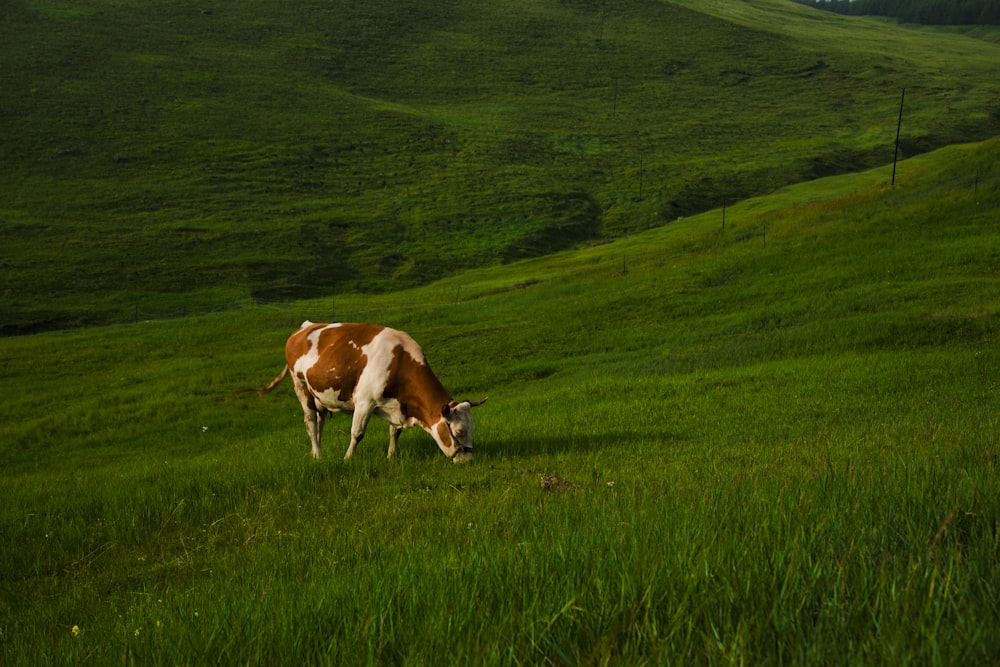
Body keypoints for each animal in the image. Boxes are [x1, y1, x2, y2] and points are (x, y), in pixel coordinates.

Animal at [258, 324, 488, 464]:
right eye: (458, 431)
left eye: (473, 428)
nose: (469, 461)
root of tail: (304, 327)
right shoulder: (364, 402)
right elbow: (357, 433)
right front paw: (347, 459)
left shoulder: (396, 405)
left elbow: (395, 432)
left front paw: (391, 457)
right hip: (300, 386)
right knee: (310, 421)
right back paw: (318, 455)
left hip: (319, 394)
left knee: (319, 420)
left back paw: (316, 451)